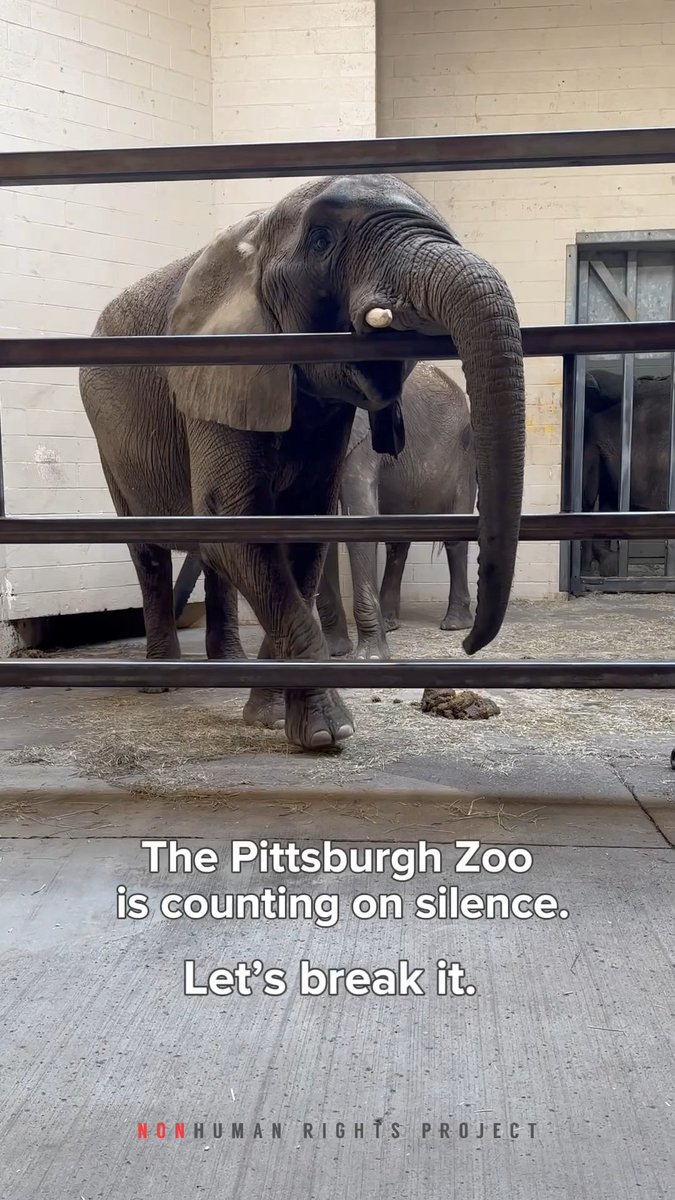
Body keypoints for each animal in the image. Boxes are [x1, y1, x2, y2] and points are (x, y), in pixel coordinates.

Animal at [316, 361, 476, 661]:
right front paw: (333, 652)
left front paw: (370, 658)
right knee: (397, 539)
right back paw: (389, 623)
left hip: (464, 456)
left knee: (454, 537)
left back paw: (454, 625)